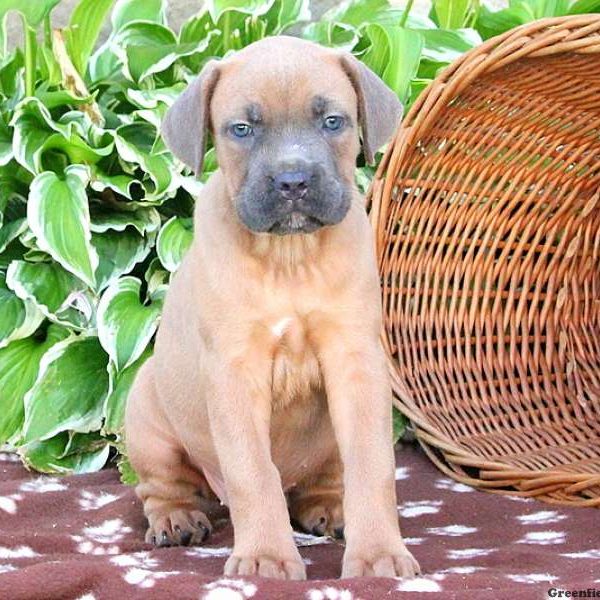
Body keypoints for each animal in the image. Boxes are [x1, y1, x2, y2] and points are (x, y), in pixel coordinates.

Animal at [124, 35, 420, 580]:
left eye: (333, 121)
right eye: (241, 129)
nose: (292, 181)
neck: (290, 256)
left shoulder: (357, 363)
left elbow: (373, 466)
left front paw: (378, 555)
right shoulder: (234, 373)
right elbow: (252, 471)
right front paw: (265, 556)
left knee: (322, 481)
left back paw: (330, 508)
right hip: (148, 416)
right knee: (160, 487)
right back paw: (177, 519)